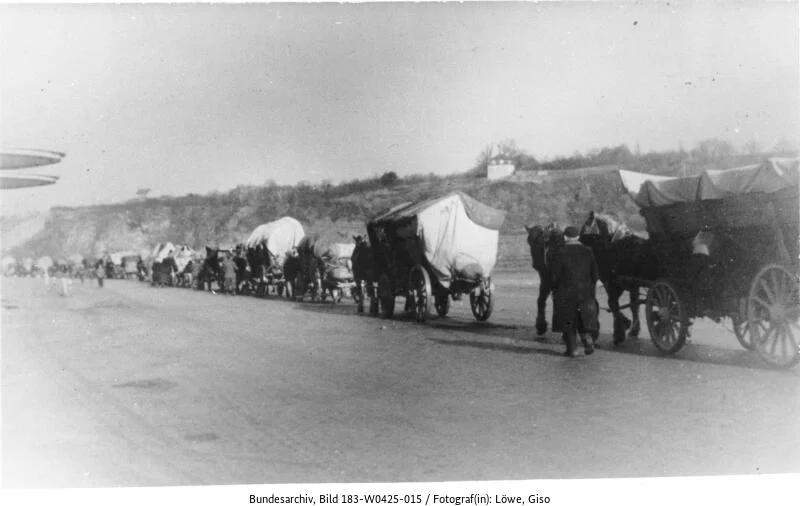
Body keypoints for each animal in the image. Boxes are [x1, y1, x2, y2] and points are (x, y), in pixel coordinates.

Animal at [580, 210, 660, 344]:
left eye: (585, 227)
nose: (579, 241)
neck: (614, 245)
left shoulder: (612, 283)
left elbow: (614, 304)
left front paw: (620, 331)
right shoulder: (632, 285)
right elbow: (633, 305)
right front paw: (630, 328)